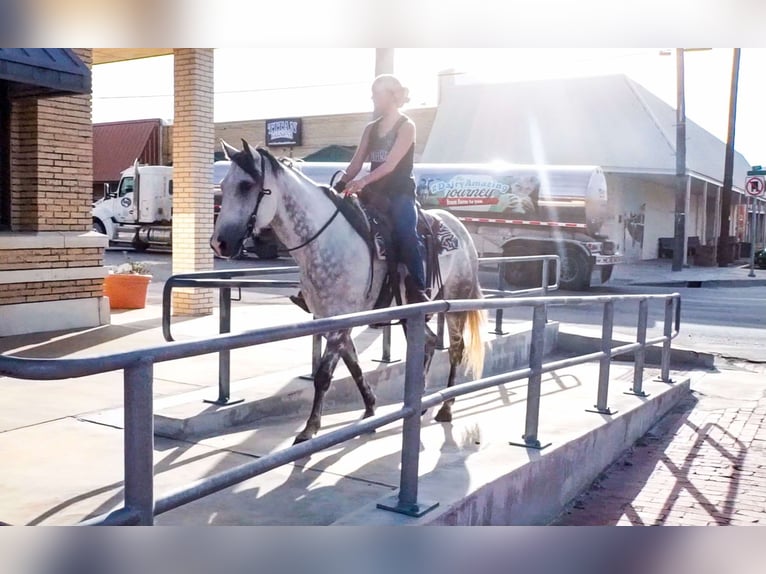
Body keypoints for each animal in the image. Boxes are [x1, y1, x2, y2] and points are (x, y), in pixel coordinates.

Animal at [210, 141, 486, 446]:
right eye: (223, 185)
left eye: (246, 185)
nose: (219, 244)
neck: (326, 241)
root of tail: (459, 228)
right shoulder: (333, 319)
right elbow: (353, 365)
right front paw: (370, 410)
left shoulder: (340, 321)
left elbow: (323, 375)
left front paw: (309, 429)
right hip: (410, 313)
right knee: (427, 342)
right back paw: (422, 399)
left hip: (456, 302)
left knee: (456, 349)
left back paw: (446, 408)